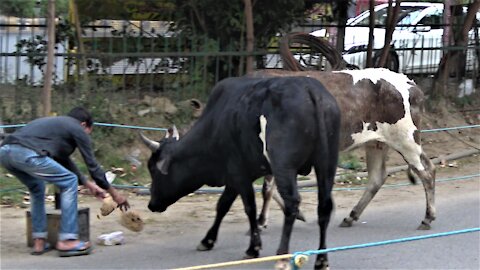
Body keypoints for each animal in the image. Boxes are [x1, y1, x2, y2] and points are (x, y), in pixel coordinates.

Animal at [140, 75, 342, 268]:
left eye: (153, 169)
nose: (151, 204)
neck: (214, 125)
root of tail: (310, 89)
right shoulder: (234, 177)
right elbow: (223, 205)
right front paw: (208, 240)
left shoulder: (239, 174)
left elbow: (249, 208)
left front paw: (253, 248)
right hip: (327, 163)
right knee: (324, 207)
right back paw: (322, 259)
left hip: (284, 167)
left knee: (292, 203)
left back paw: (282, 257)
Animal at [251, 67, 436, 230]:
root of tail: (410, 83)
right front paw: (295, 214)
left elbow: (267, 189)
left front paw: (261, 223)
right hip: (378, 144)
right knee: (379, 177)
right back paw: (351, 216)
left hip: (405, 140)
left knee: (426, 173)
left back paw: (427, 218)